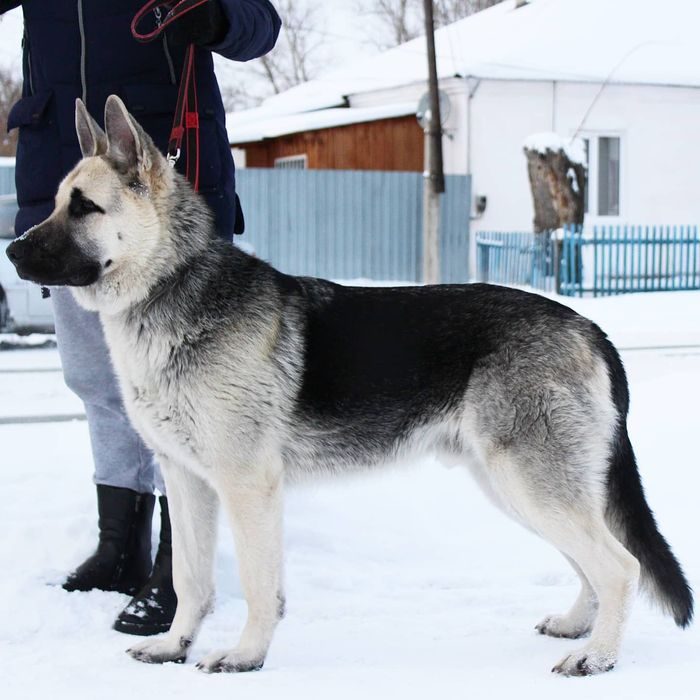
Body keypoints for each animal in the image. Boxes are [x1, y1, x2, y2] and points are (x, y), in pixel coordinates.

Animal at [6, 95, 696, 676]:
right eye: (56, 201)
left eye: (84, 207)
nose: (12, 251)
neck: (173, 285)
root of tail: (589, 325)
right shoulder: (186, 482)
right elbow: (190, 580)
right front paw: (175, 645)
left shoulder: (247, 487)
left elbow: (257, 585)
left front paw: (247, 655)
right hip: (518, 488)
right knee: (594, 564)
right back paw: (579, 627)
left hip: (529, 483)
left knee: (621, 565)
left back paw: (597, 657)